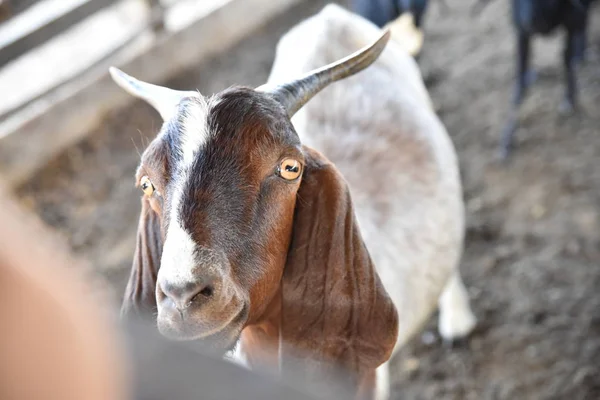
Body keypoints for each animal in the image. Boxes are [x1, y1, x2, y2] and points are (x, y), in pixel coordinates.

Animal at [478, 0, 596, 159]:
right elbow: (519, 86)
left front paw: (569, 101)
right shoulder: (521, 32)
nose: (530, 22)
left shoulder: (573, 18)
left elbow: (566, 59)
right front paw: (506, 140)